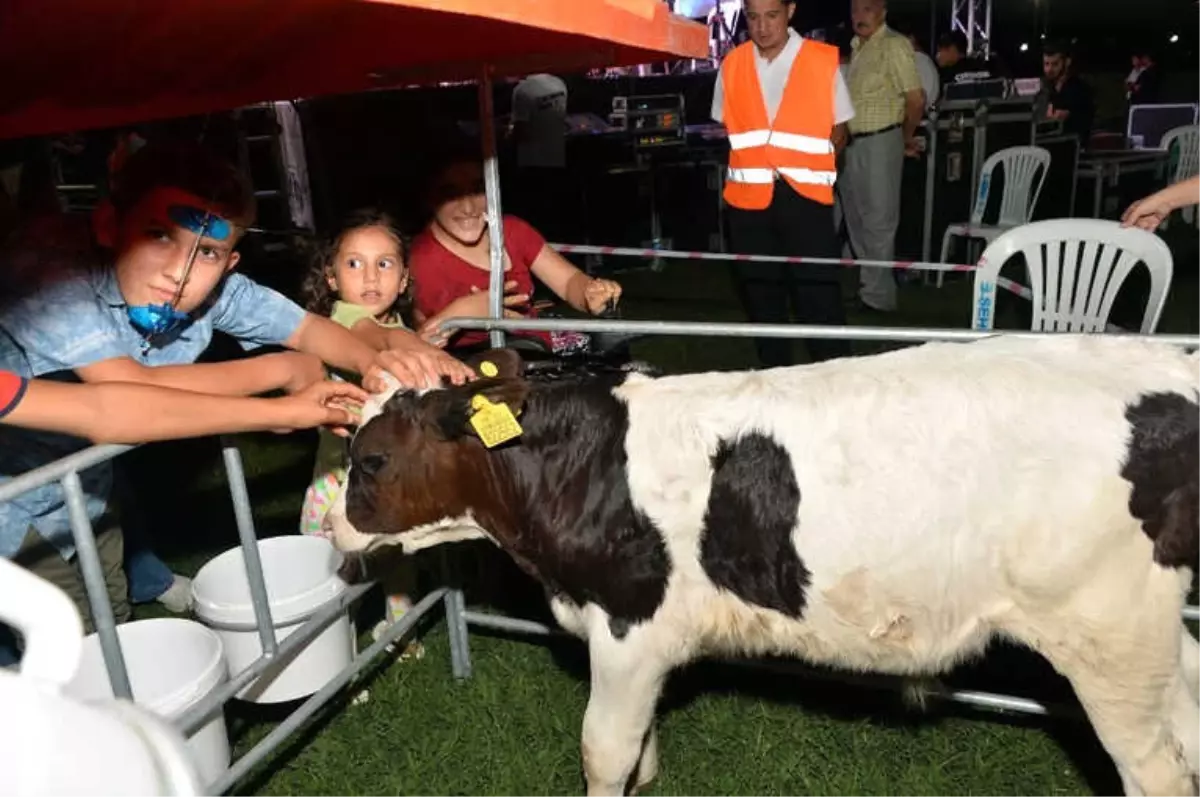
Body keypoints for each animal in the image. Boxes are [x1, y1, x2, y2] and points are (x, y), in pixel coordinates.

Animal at [328, 336, 1200, 797]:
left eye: (370, 460)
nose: (333, 528)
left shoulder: (629, 624)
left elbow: (604, 750)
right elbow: (641, 750)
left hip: (1107, 637)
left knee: (1155, 769)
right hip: (1149, 631)